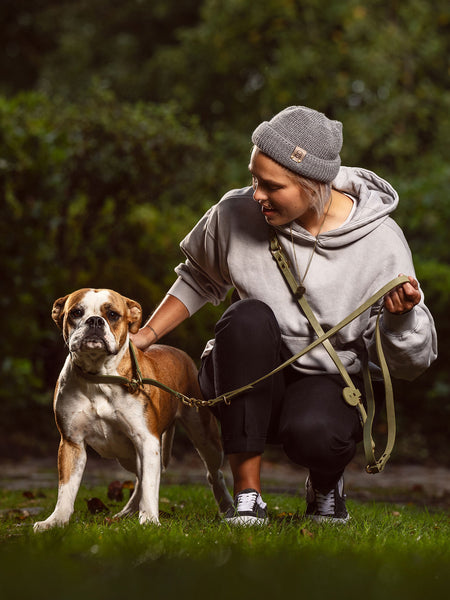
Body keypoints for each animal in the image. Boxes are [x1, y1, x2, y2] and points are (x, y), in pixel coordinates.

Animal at [33, 290, 232, 528]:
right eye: (76, 312)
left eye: (112, 314)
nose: (94, 321)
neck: (101, 376)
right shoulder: (72, 443)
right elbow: (66, 488)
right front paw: (55, 520)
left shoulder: (147, 440)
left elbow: (149, 486)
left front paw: (150, 520)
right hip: (126, 455)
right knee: (138, 478)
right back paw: (127, 511)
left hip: (205, 438)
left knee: (214, 473)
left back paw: (228, 507)